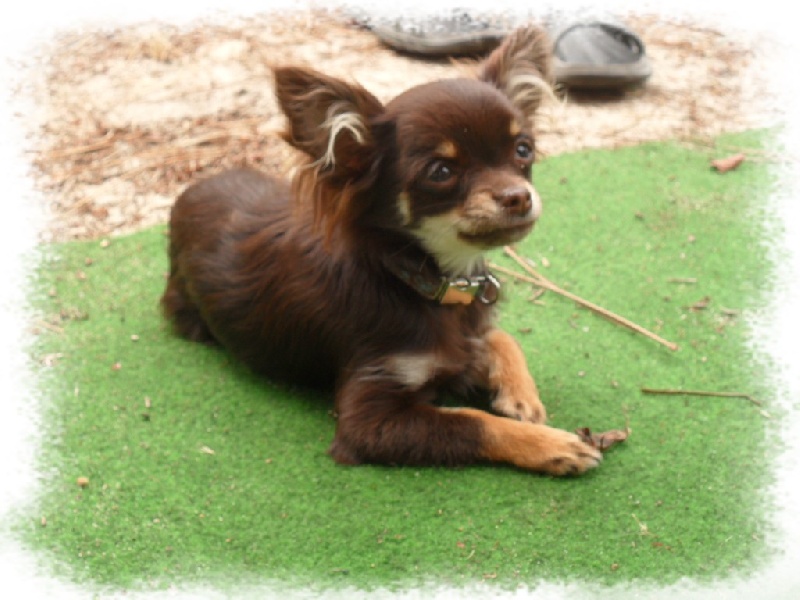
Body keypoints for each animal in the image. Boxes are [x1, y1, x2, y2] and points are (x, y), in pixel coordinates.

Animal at [161, 25, 600, 476]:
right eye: (441, 172)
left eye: (523, 150)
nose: (519, 197)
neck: (425, 283)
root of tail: (192, 189)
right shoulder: (370, 417)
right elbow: (472, 421)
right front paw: (552, 445)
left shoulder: (463, 339)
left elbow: (500, 337)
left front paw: (521, 396)